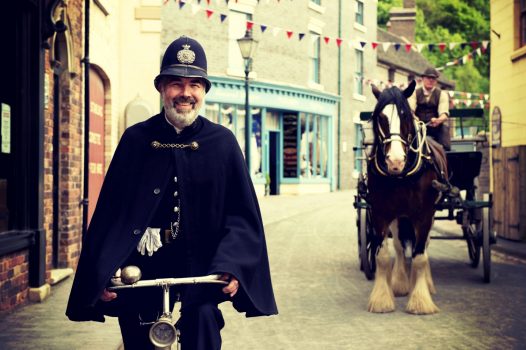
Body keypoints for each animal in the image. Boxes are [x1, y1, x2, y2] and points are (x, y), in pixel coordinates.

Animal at [368, 80, 450, 316]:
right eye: (380, 117)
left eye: (405, 116)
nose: (395, 161)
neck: (400, 176)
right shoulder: (380, 212)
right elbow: (383, 256)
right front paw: (382, 299)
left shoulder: (424, 214)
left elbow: (420, 256)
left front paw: (420, 301)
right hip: (399, 216)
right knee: (398, 246)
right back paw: (401, 283)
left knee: (423, 246)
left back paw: (426, 285)